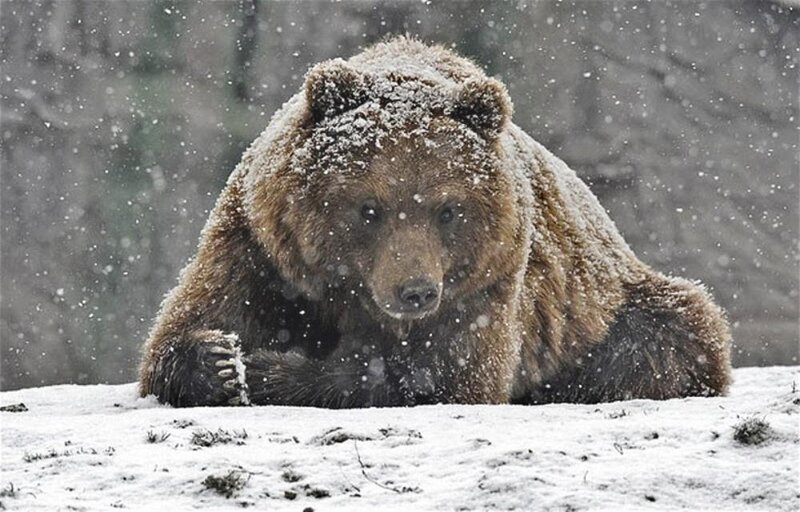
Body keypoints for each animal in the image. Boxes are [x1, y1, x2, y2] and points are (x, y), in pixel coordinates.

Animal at [138, 36, 732, 408]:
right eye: (369, 208)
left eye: (448, 209)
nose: (416, 291)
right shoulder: (262, 247)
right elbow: (189, 324)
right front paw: (220, 362)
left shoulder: (488, 279)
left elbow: (442, 374)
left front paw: (270, 371)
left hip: (604, 309)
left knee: (672, 332)